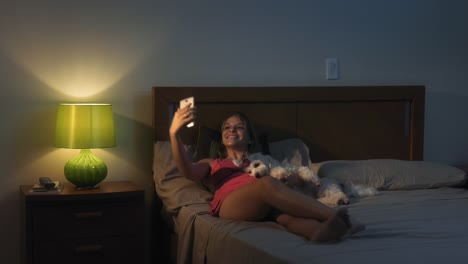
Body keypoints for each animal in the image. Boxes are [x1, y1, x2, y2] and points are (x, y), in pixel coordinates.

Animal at [238, 153, 376, 206]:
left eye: (256, 165)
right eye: (249, 172)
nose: (256, 175)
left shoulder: (296, 170)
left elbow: (305, 172)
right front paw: (279, 175)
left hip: (327, 187)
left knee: (337, 194)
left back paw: (342, 199)